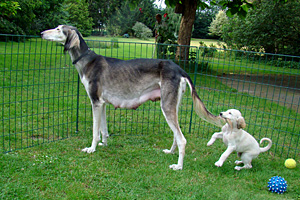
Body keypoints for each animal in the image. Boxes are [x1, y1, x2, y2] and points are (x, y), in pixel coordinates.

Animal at [41, 24, 225, 170]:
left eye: (58, 29)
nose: (41, 33)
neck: (87, 60)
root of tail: (179, 69)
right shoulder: (102, 103)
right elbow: (103, 129)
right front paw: (104, 144)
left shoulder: (95, 102)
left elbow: (95, 131)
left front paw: (91, 149)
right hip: (173, 105)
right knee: (176, 135)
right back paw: (171, 152)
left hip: (166, 107)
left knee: (182, 139)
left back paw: (178, 166)